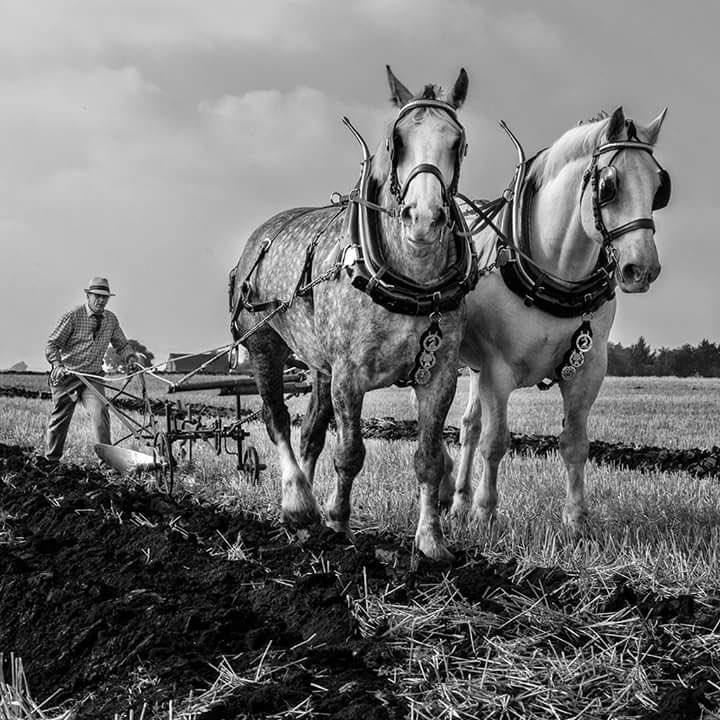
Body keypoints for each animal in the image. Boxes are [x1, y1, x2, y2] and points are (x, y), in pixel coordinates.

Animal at [229, 66, 476, 562]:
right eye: (396, 139)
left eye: (457, 141)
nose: (423, 218)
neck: (410, 281)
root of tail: (257, 239)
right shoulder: (349, 373)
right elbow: (350, 453)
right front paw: (337, 522)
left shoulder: (440, 374)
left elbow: (429, 459)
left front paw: (431, 540)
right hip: (265, 346)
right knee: (277, 420)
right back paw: (298, 501)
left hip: (318, 364)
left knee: (311, 431)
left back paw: (302, 509)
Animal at [442, 106, 670, 529]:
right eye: (608, 186)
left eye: (658, 187)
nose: (641, 269)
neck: (555, 275)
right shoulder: (498, 369)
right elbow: (496, 441)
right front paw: (486, 512)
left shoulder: (588, 368)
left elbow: (574, 443)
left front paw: (576, 517)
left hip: (477, 368)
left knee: (469, 426)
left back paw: (460, 500)